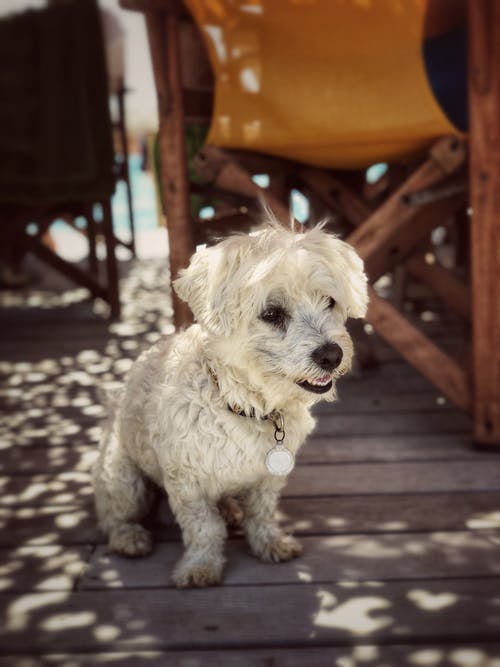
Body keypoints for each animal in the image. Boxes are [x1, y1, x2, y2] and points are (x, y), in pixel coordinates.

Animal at [93, 222, 368, 588]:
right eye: (271, 314)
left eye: (329, 301)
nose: (331, 355)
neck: (245, 405)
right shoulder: (187, 484)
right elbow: (204, 529)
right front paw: (201, 567)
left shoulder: (267, 479)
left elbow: (261, 513)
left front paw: (269, 543)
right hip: (123, 479)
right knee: (112, 517)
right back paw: (129, 538)